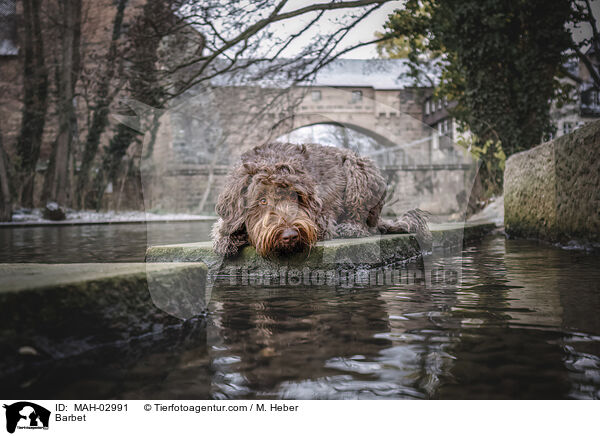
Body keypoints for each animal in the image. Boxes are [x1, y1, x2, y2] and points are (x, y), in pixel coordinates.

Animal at [213, 143, 428, 258]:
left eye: (296, 196)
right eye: (262, 200)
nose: (289, 235)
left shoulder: (322, 221)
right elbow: (224, 225)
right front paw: (226, 238)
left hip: (357, 168)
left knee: (364, 221)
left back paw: (350, 228)